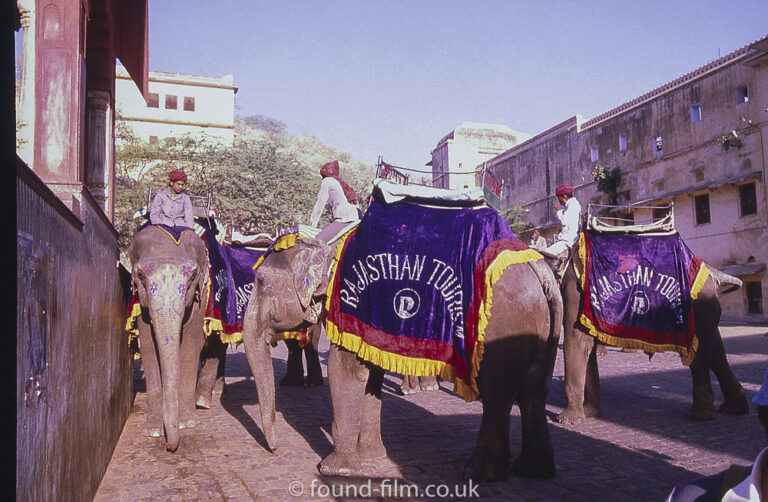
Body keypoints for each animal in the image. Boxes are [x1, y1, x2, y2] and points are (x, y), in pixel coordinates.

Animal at [130, 226, 210, 452]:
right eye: (141, 274)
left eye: (192, 276)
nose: (170, 447)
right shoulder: (141, 302)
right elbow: (148, 346)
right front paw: (154, 430)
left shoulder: (201, 296)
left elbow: (191, 345)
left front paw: (187, 423)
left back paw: (203, 402)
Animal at [242, 237, 564, 480]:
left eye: (261, 282)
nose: (275, 450)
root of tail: (539, 266)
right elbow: (372, 375)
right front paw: (372, 456)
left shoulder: (351, 306)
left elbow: (345, 370)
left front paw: (334, 469)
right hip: (545, 331)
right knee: (534, 392)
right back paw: (534, 469)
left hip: (503, 324)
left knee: (498, 394)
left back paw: (478, 473)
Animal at [556, 237, 748, 426]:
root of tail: (708, 268)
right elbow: (587, 347)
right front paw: (590, 413)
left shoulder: (575, 292)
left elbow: (577, 341)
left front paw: (567, 420)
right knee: (716, 350)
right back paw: (733, 408)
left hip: (698, 308)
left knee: (700, 355)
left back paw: (698, 416)